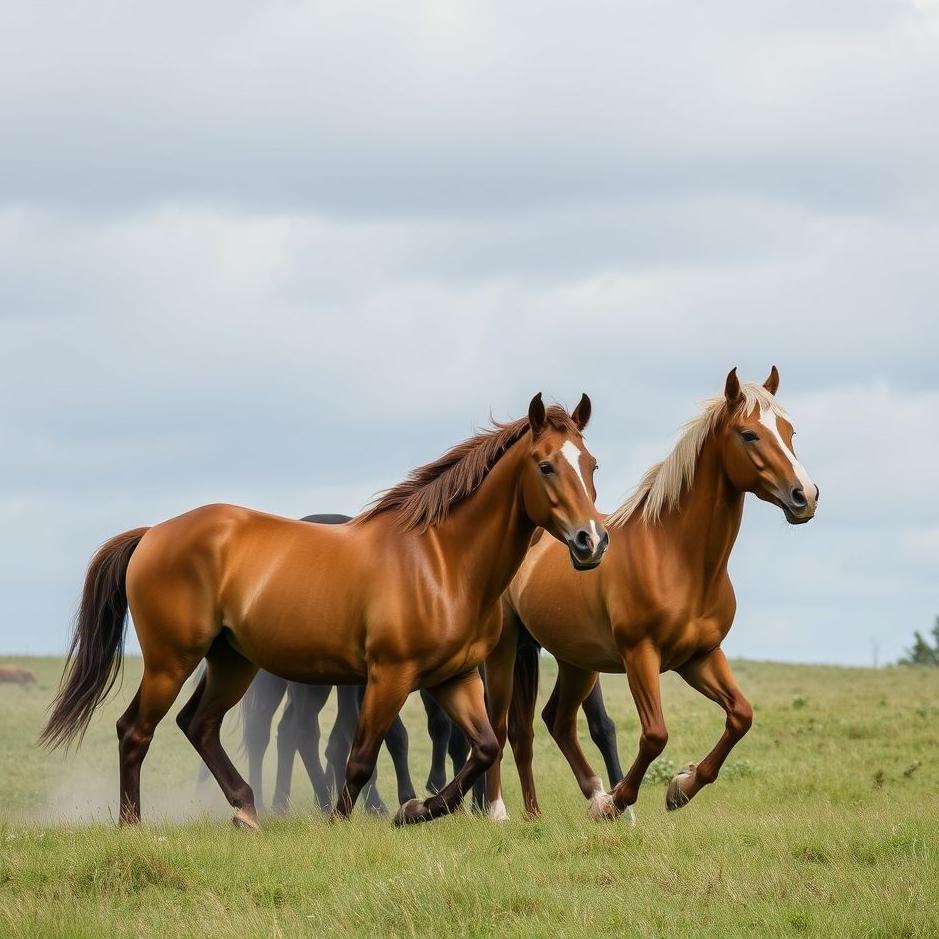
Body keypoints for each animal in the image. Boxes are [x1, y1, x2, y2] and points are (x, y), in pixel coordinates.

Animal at [42, 393, 608, 828]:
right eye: (545, 465)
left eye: (591, 465)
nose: (592, 541)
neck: (441, 561)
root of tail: (153, 533)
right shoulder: (390, 675)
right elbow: (358, 759)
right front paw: (343, 820)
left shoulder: (455, 677)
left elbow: (485, 746)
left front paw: (419, 809)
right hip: (171, 661)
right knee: (134, 731)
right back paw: (133, 825)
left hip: (231, 662)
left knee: (198, 724)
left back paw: (246, 810)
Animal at [485, 368, 818, 822]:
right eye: (749, 434)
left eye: (789, 431)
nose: (806, 495)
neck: (676, 558)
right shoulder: (640, 655)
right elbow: (655, 734)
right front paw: (623, 800)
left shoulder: (700, 657)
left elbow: (741, 716)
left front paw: (680, 787)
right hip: (506, 649)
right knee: (500, 726)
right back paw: (503, 812)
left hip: (576, 660)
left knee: (555, 721)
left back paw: (577, 802)